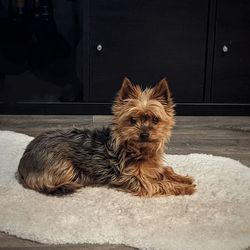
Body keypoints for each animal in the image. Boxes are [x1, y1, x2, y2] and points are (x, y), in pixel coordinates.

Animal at [18, 77, 197, 196]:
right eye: (132, 120)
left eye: (155, 120)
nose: (144, 134)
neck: (138, 150)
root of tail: (22, 164)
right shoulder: (133, 179)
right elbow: (160, 184)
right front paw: (184, 188)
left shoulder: (151, 168)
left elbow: (165, 170)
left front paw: (184, 178)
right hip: (64, 166)